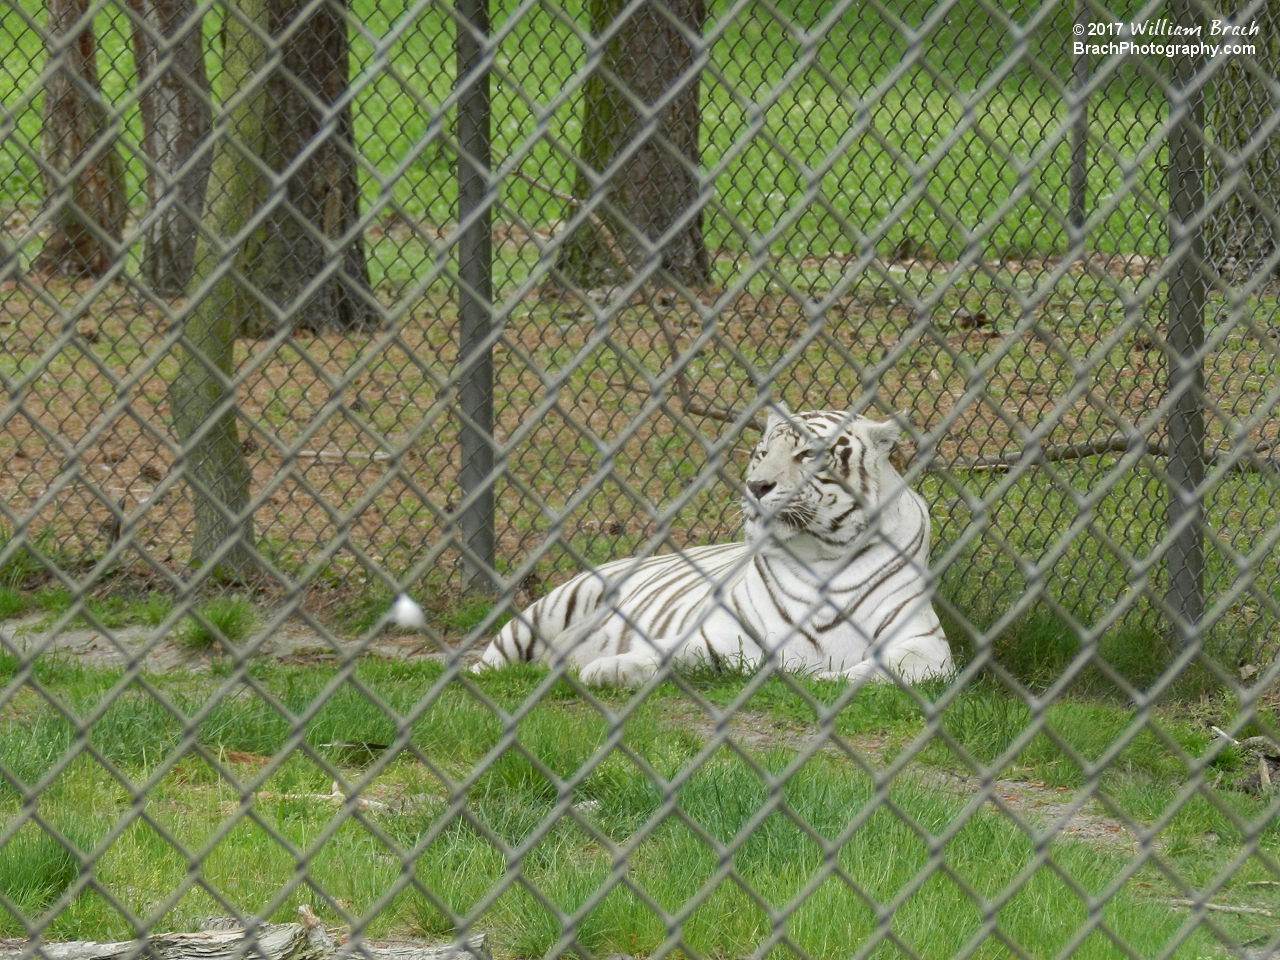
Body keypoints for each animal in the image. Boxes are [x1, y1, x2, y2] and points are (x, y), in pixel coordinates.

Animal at [471, 409, 952, 686]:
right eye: (762, 452)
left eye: (807, 455)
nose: (756, 486)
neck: (821, 554)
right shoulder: (725, 633)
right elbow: (662, 653)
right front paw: (602, 669)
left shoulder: (926, 646)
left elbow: (876, 671)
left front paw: (828, 679)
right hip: (550, 607)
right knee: (489, 661)